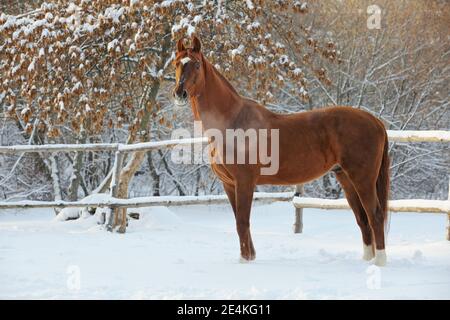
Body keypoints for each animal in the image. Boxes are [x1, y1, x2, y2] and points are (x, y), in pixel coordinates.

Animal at [172, 36, 390, 268]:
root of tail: (375, 121)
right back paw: (367, 260)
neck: (232, 122)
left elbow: (242, 222)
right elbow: (240, 221)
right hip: (345, 177)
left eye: (196, 64)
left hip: (362, 178)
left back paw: (380, 263)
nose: (179, 93)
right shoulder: (229, 184)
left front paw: (244, 262)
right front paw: (249, 257)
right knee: (362, 218)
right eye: (176, 63)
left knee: (375, 215)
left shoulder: (245, 181)